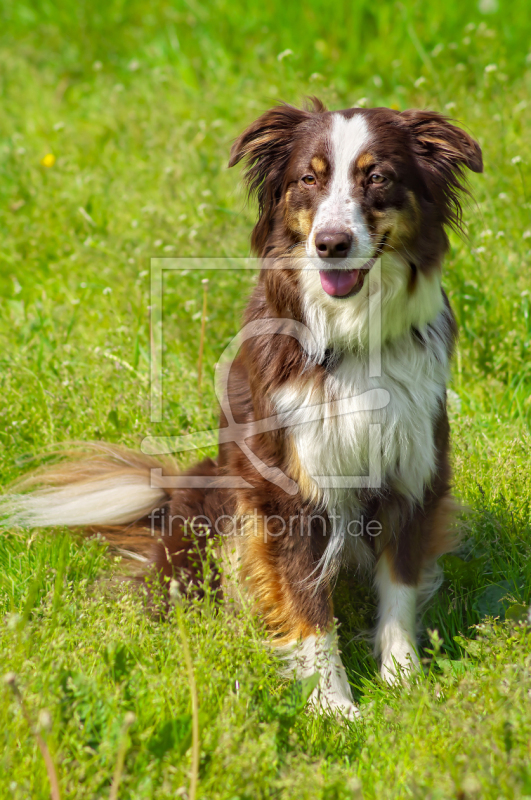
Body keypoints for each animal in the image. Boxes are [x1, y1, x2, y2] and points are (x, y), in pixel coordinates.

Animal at [3, 100, 482, 720]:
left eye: (378, 177)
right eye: (309, 179)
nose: (330, 243)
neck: (351, 338)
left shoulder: (413, 469)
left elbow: (398, 588)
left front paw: (404, 682)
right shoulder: (286, 491)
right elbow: (307, 604)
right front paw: (334, 707)